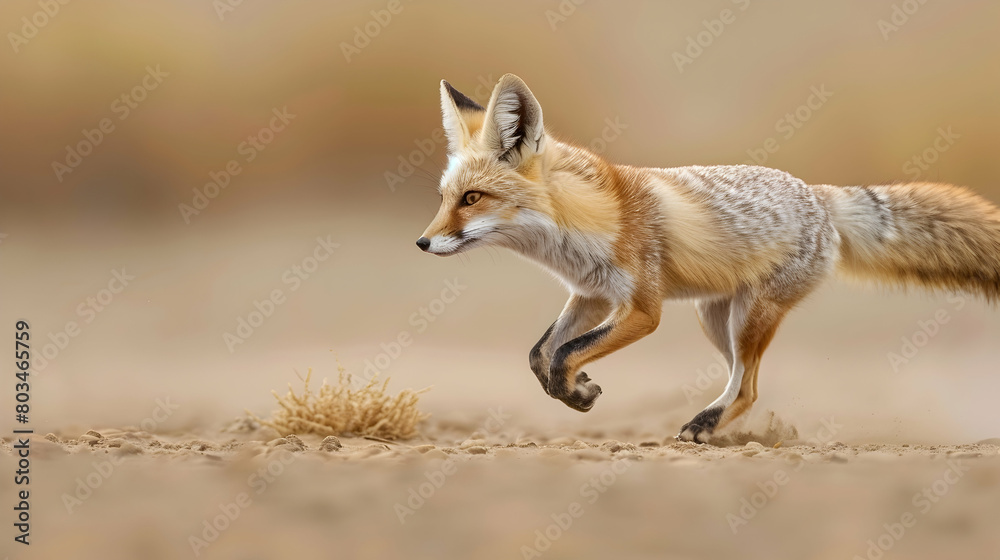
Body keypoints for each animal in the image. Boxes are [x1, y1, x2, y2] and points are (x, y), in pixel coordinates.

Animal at [416, 73, 1000, 443]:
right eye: (445, 198)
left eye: (472, 199)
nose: (421, 243)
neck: (582, 226)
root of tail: (818, 194)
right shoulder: (591, 294)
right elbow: (542, 354)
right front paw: (574, 393)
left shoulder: (642, 309)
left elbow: (565, 353)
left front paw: (575, 390)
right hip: (714, 317)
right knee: (747, 385)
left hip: (748, 318)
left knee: (748, 387)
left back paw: (705, 424)